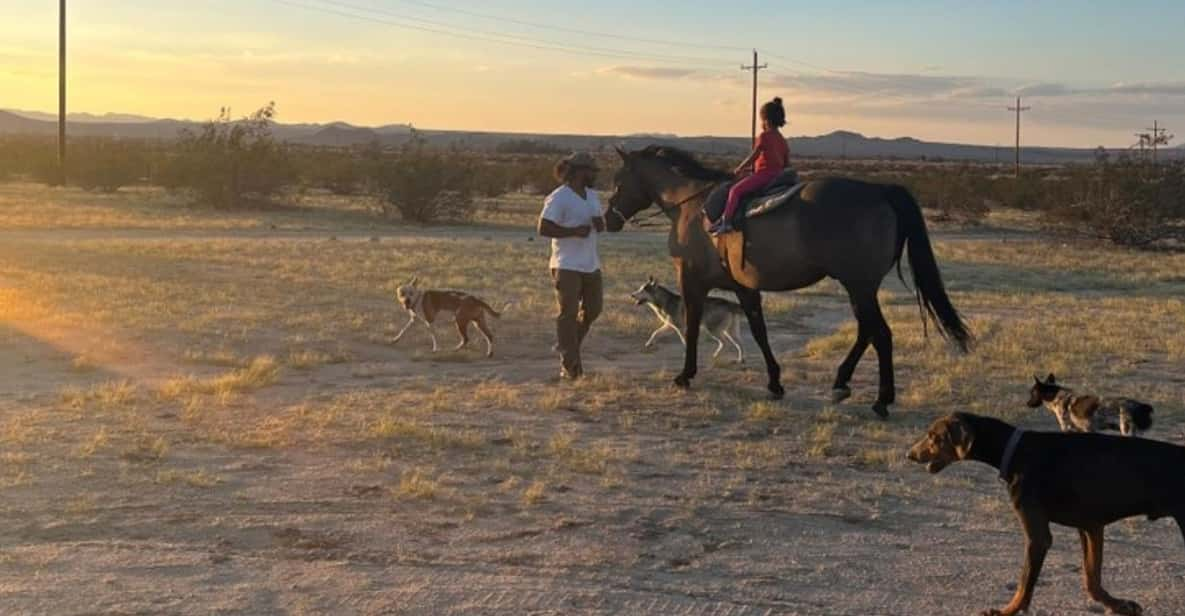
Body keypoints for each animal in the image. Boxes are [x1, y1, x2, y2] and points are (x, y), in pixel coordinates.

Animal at [606, 144, 966, 416]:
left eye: (619, 180)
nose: (609, 219)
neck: (691, 206)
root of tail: (879, 191)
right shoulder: (743, 287)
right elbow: (759, 330)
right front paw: (775, 382)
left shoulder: (692, 281)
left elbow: (693, 326)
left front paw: (685, 375)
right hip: (860, 287)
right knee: (867, 331)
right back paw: (842, 383)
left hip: (859, 286)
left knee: (881, 334)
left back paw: (881, 400)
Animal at [910, 412, 1180, 611]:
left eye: (932, 435)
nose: (909, 454)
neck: (1014, 450)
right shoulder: (1090, 527)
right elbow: (1092, 579)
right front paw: (1119, 605)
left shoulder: (1039, 537)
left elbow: (1024, 584)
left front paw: (1006, 610)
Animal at [1023, 371, 1151, 435]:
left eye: (1032, 393)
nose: (1027, 404)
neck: (1056, 396)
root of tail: (1138, 405)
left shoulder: (1067, 428)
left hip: (1126, 431)